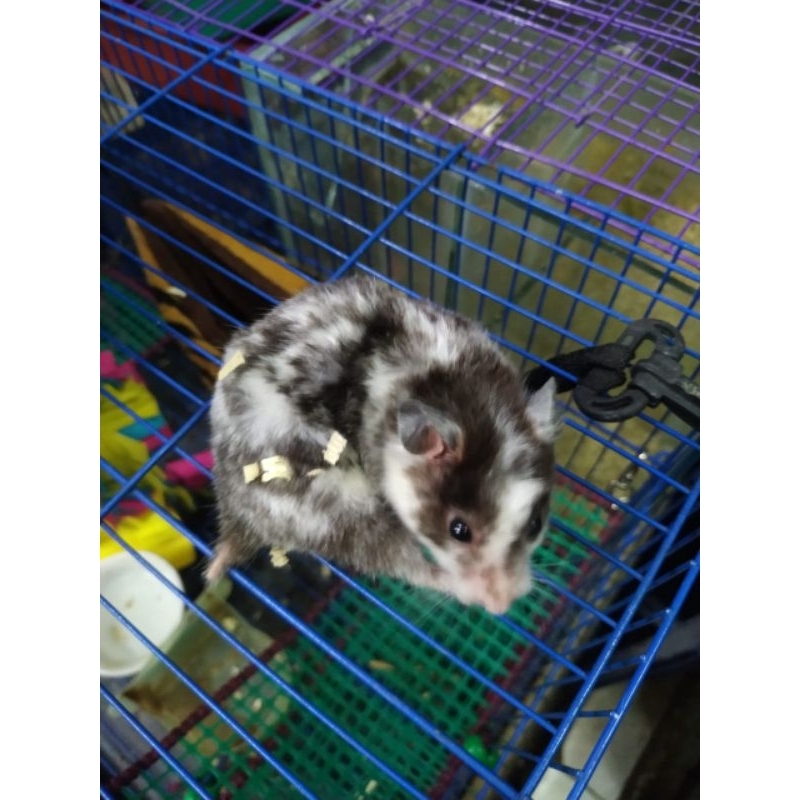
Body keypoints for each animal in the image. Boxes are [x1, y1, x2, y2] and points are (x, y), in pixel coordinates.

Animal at [206, 274, 558, 615]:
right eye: (459, 530)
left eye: (536, 525)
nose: (502, 606)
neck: (461, 391)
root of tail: (237, 519)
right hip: (336, 509)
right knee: (399, 561)